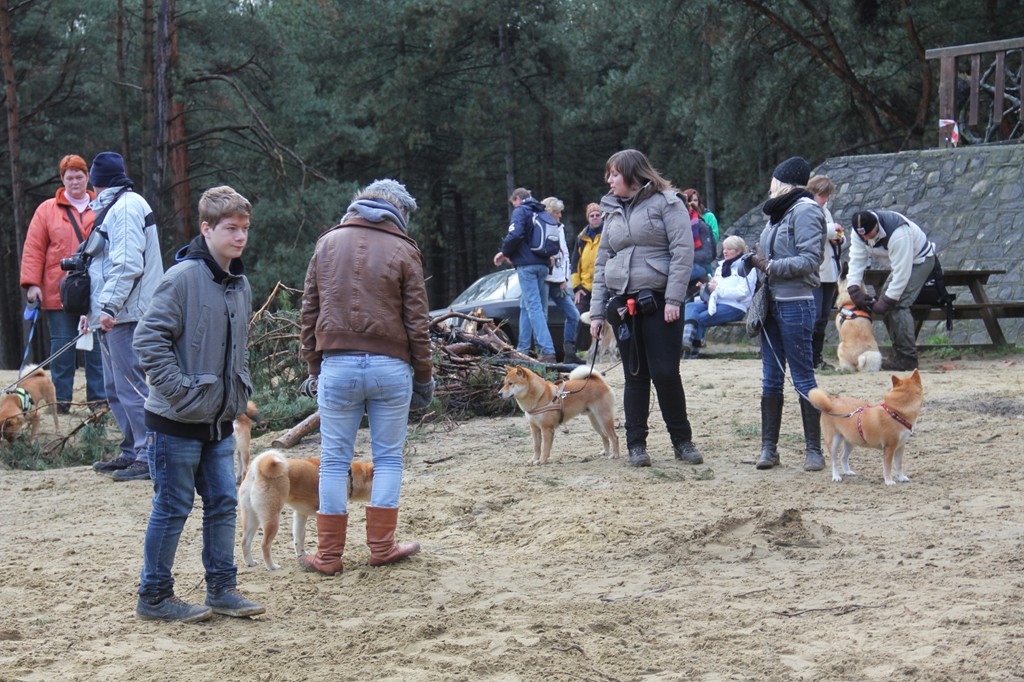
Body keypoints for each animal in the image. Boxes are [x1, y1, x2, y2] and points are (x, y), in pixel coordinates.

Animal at [237, 446, 374, 569]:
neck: (350, 476)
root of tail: (257, 469)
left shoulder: (300, 514)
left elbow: (299, 538)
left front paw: (301, 556)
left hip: (252, 518)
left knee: (245, 542)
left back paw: (250, 562)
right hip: (272, 518)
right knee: (264, 544)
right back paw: (271, 566)